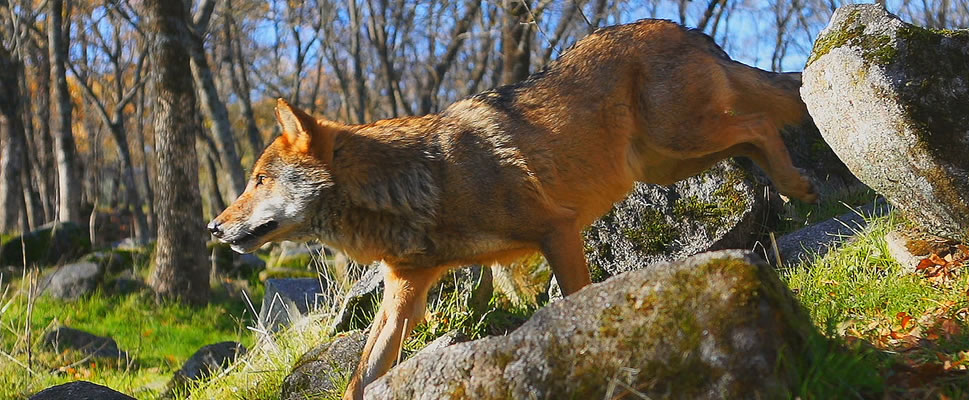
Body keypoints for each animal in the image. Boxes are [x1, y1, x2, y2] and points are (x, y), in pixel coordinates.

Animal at [208, 19, 812, 400]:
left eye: (258, 180)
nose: (214, 226)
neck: (420, 183)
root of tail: (688, 29)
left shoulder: (558, 231)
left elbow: (575, 302)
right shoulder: (403, 294)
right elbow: (361, 376)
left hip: (681, 142)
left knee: (762, 123)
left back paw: (798, 187)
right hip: (671, 161)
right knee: (757, 132)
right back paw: (792, 189)